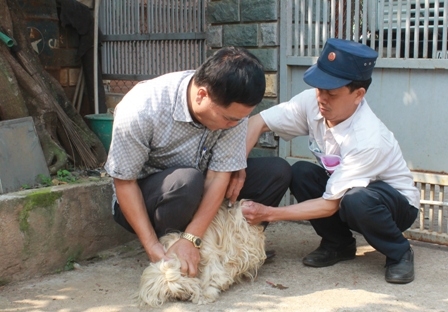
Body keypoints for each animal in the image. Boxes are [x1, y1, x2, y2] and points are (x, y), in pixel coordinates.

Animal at [136, 200, 266, 308]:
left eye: (179, 288)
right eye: (167, 293)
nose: (178, 297)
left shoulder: (210, 256)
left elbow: (213, 275)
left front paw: (205, 295)